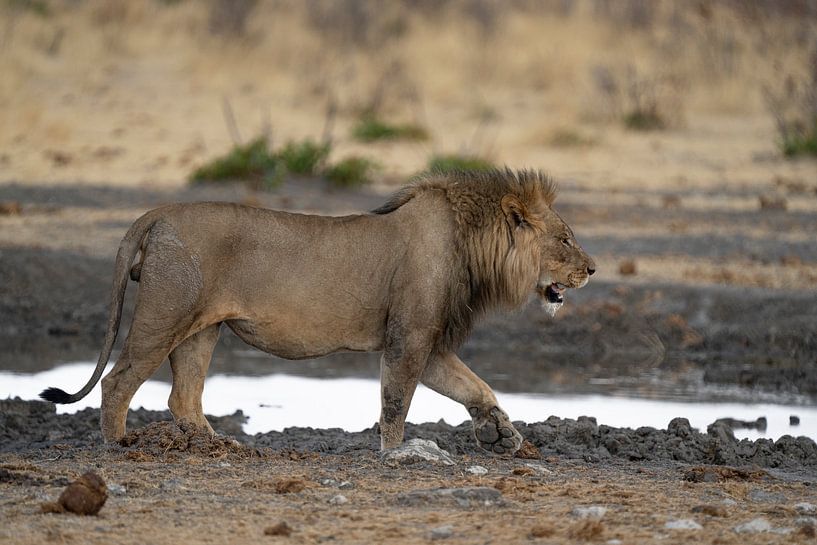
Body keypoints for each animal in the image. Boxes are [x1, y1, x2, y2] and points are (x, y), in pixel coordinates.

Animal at [41, 169, 595, 454]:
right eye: (565, 239)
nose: (592, 268)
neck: (472, 247)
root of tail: (157, 213)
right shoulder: (410, 337)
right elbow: (396, 401)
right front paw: (395, 453)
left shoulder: (431, 344)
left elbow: (476, 386)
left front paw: (500, 431)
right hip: (166, 316)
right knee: (118, 382)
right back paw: (121, 446)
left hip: (202, 329)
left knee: (184, 397)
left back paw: (222, 448)